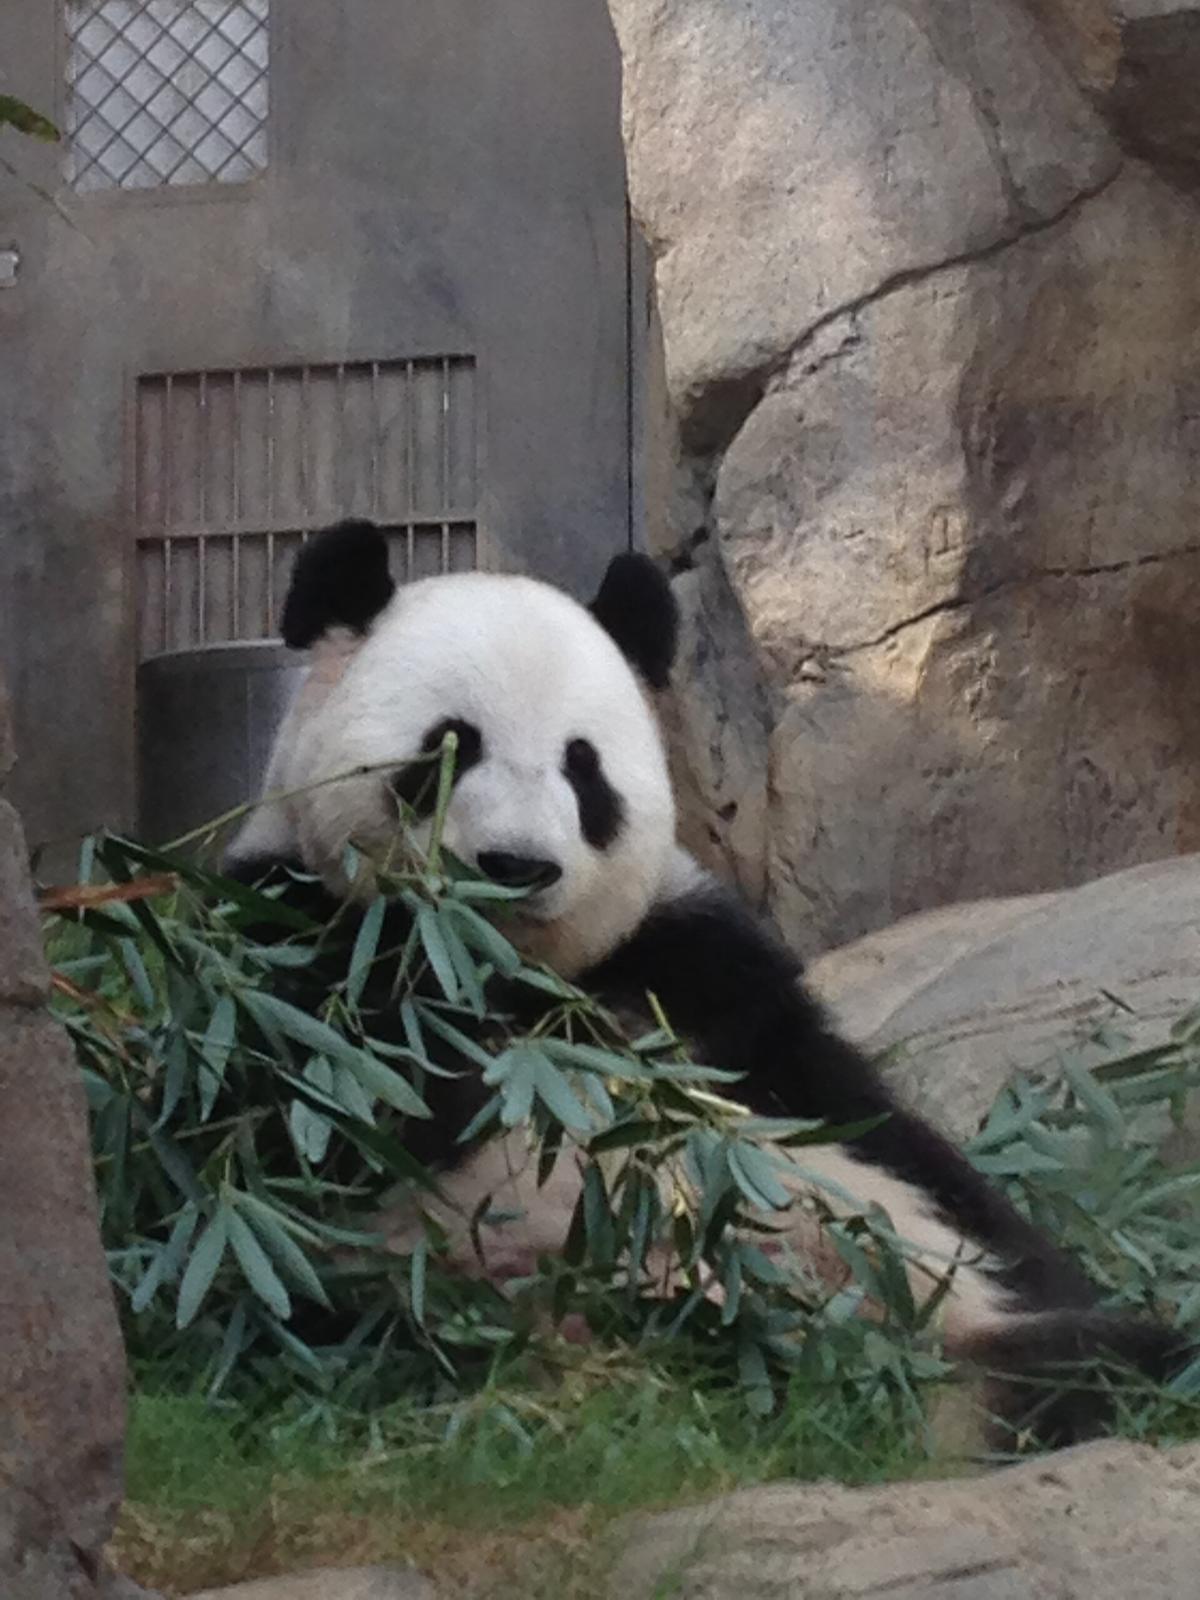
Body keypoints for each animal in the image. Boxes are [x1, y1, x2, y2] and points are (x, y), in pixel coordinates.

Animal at [226, 517, 1180, 1447]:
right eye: (450, 746)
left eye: (583, 768)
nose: (517, 867)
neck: (513, 971)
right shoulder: (286, 937)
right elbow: (318, 1118)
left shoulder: (696, 974)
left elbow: (869, 1121)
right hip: (478, 1293)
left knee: (1085, 1338)